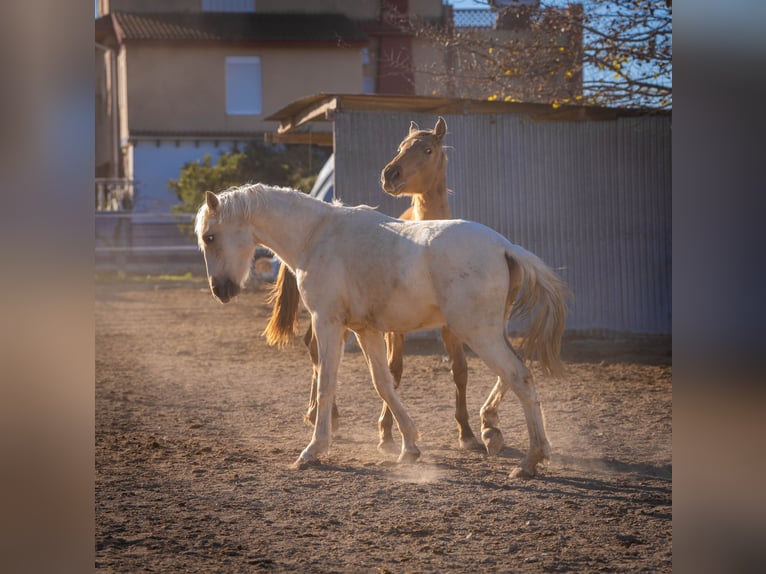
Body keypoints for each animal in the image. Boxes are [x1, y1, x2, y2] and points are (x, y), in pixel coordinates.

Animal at [195, 183, 572, 476]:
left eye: (210, 237)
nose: (219, 290)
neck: (316, 235)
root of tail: (504, 247)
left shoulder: (327, 323)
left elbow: (327, 383)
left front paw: (313, 450)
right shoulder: (366, 331)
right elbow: (384, 385)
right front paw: (408, 447)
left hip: (478, 333)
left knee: (519, 377)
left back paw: (530, 460)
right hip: (491, 332)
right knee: (514, 374)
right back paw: (504, 436)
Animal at [264, 118, 480, 454]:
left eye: (427, 149)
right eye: (400, 147)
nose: (390, 174)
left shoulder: (449, 324)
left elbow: (459, 369)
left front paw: (467, 433)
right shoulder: (392, 328)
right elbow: (393, 371)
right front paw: (387, 432)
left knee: (315, 348)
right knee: (317, 351)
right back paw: (327, 417)